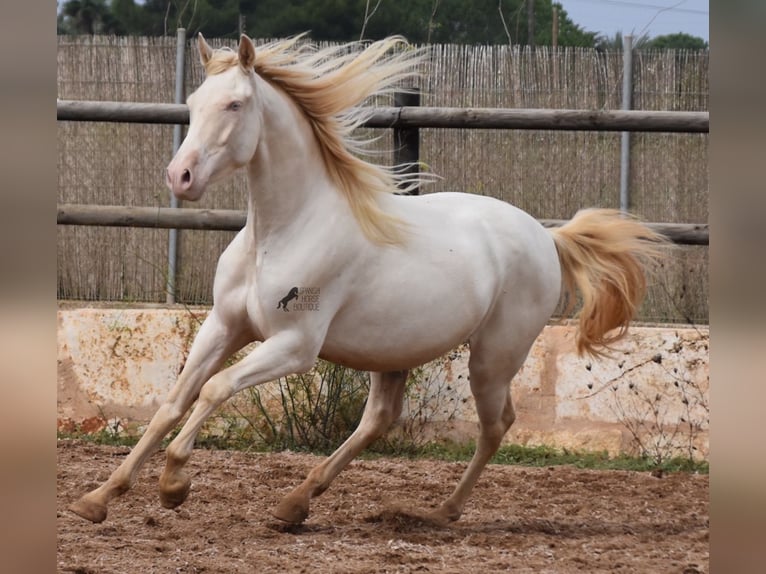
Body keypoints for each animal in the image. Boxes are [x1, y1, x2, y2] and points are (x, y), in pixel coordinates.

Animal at [70, 32, 664, 528]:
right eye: (193, 103)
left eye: (235, 104)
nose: (181, 177)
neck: (282, 230)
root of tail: (547, 236)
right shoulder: (223, 327)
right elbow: (173, 403)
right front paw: (97, 499)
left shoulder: (294, 346)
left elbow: (214, 390)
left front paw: (174, 485)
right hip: (395, 351)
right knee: (380, 419)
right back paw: (294, 504)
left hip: (494, 356)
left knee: (496, 425)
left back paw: (440, 512)